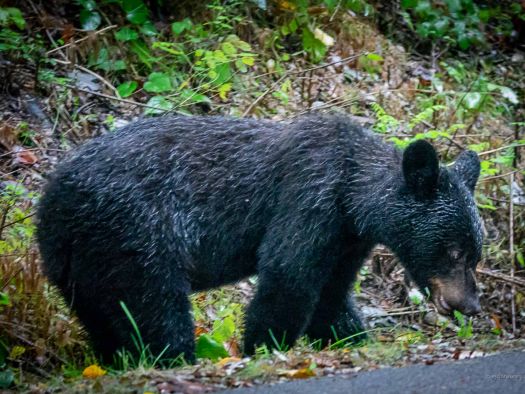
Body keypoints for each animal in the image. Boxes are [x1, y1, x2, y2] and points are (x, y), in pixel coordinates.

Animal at [34, 114, 482, 364]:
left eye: (474, 254)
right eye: (453, 250)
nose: (471, 305)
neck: (353, 196)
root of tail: (52, 198)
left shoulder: (344, 239)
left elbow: (331, 295)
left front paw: (350, 338)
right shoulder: (309, 199)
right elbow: (288, 276)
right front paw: (264, 347)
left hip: (80, 261)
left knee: (104, 317)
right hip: (136, 233)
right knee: (156, 307)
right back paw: (174, 358)